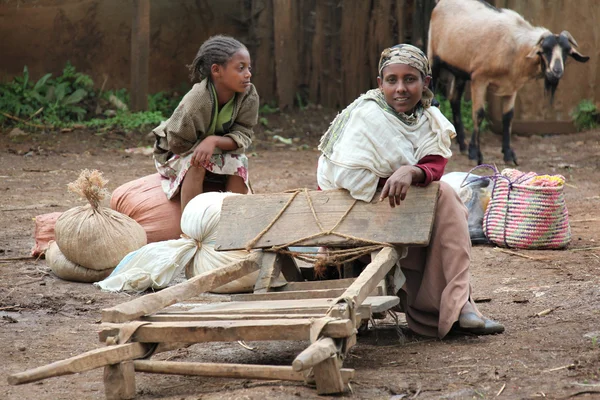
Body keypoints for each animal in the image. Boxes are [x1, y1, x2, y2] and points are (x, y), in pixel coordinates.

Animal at [428, 0, 588, 164]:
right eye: (544, 50)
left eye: (567, 52)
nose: (556, 71)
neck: (514, 47)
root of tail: (440, 4)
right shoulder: (479, 78)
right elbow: (478, 114)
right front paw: (475, 154)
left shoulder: (512, 86)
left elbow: (508, 117)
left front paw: (508, 155)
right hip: (433, 58)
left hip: (460, 70)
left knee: (454, 100)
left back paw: (463, 146)